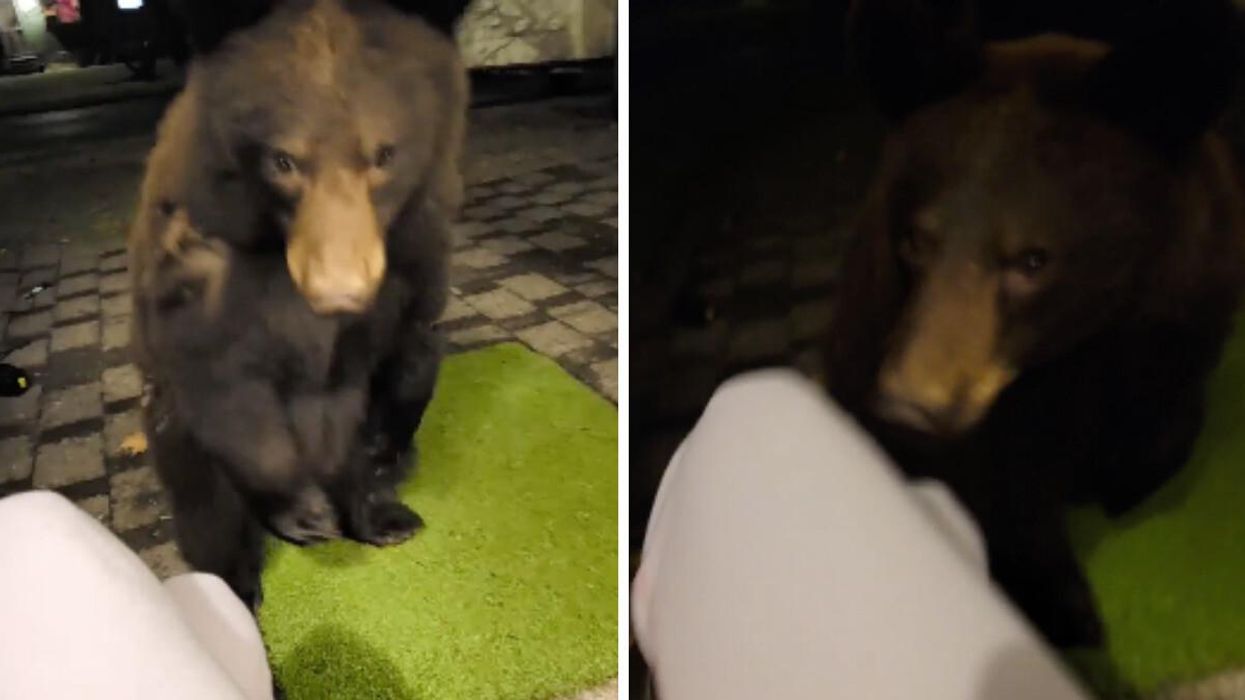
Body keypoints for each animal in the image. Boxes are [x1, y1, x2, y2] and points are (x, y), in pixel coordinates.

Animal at [128, 0, 470, 609]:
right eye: (282, 160)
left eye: (384, 154)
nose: (337, 288)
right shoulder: (201, 269)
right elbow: (220, 380)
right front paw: (298, 509)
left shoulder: (414, 255)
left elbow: (407, 351)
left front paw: (377, 470)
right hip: (177, 443)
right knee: (206, 503)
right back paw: (237, 582)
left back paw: (385, 513)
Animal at [825, 0, 1245, 647]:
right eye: (916, 240)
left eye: (1032, 260)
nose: (908, 406)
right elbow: (999, 489)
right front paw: (1060, 603)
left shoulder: (1183, 308)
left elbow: (1162, 418)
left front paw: (1120, 469)